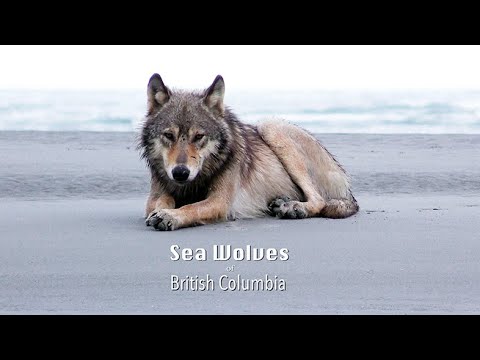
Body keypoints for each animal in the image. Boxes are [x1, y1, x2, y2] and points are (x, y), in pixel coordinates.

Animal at [137, 74, 358, 231]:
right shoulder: (156, 194)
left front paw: (170, 216)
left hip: (270, 126)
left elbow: (192, 207)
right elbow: (161, 202)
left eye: (199, 136)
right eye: (169, 135)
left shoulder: (220, 202)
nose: (180, 173)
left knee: (319, 201)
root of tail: (348, 188)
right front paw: (163, 211)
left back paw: (294, 208)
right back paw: (283, 203)